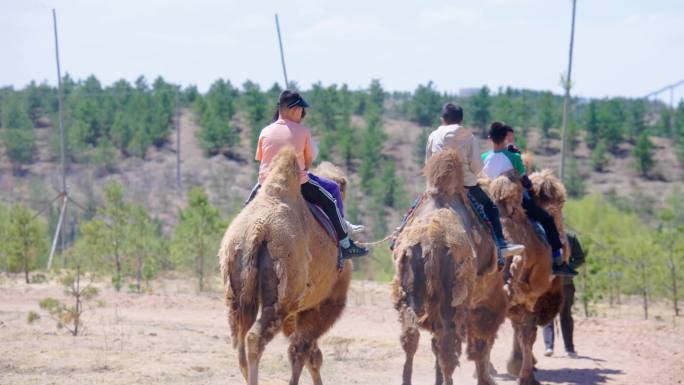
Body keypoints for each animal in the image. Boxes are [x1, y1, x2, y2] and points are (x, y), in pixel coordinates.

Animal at [219, 146, 356, 384]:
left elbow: (307, 352)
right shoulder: (324, 302)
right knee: (255, 337)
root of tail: (257, 230)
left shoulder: (296, 311)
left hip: (238, 288)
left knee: (239, 337)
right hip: (282, 293)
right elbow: (303, 350)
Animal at [488, 169, 568, 384]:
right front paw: (524, 372)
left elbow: (519, 328)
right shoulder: (534, 293)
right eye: (561, 203)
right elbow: (527, 331)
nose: (564, 242)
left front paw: (517, 365)